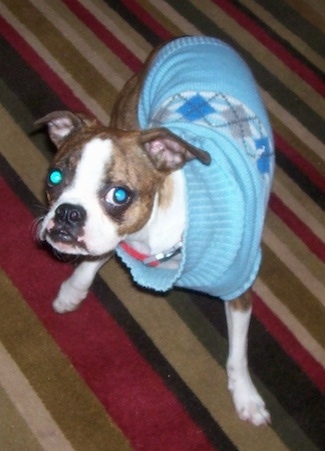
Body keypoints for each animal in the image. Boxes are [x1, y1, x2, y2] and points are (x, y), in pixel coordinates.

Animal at [35, 36, 274, 428]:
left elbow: (237, 353)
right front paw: (72, 291)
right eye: (55, 177)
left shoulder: (239, 287)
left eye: (119, 195)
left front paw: (246, 397)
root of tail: (201, 39)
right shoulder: (113, 238)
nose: (68, 213)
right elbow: (95, 258)